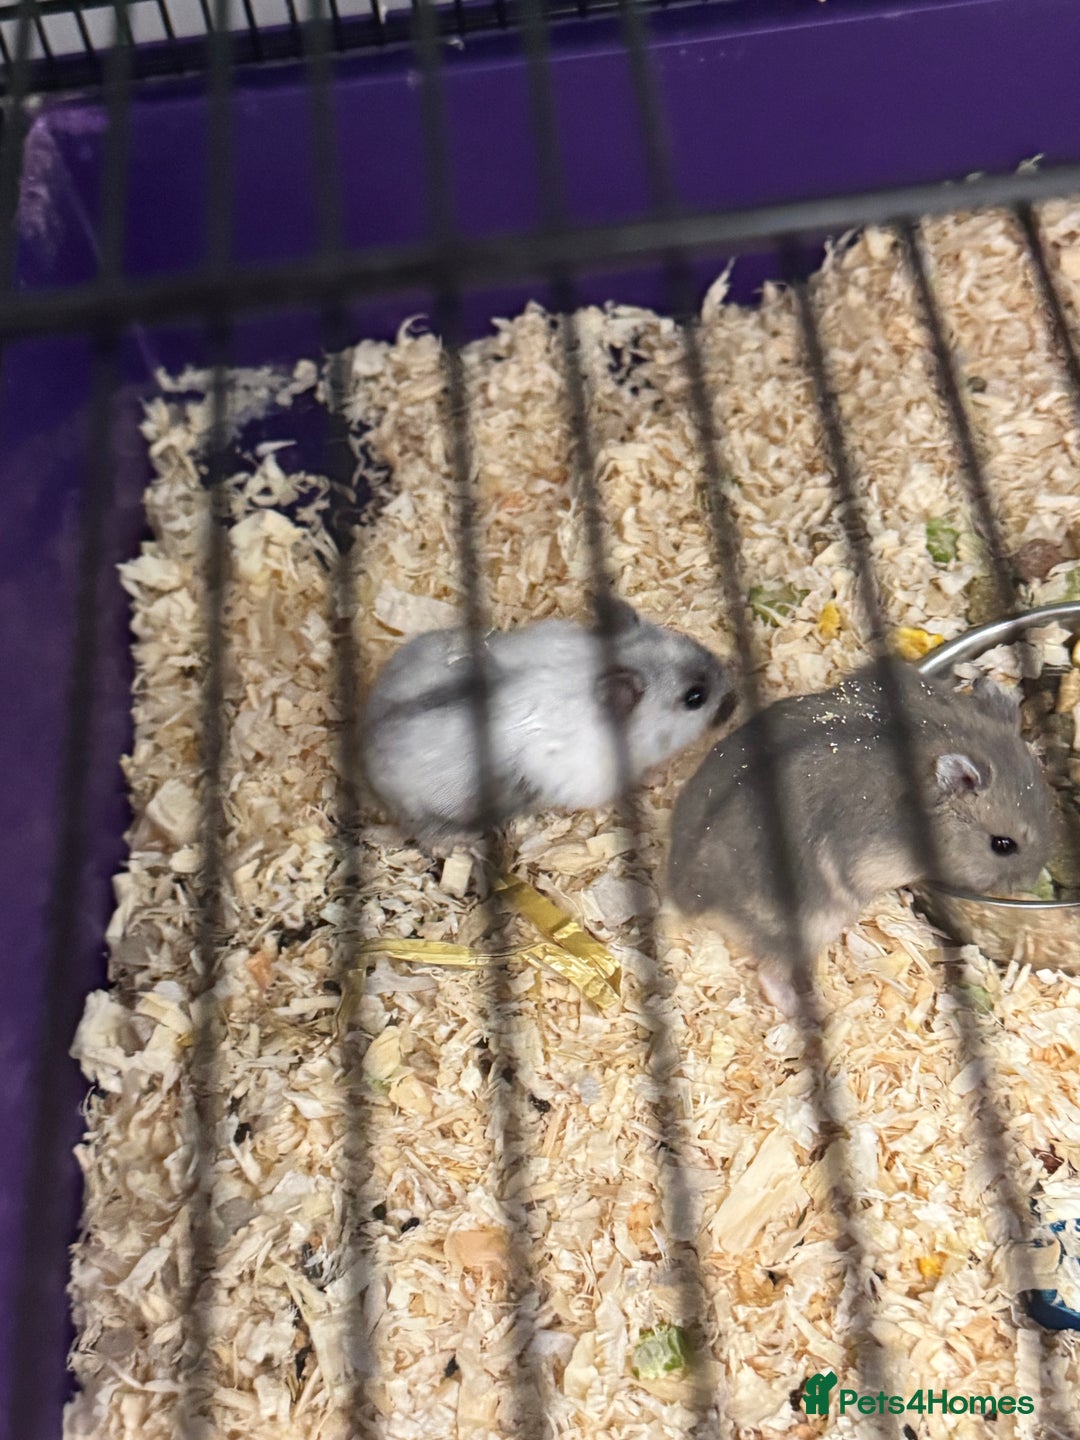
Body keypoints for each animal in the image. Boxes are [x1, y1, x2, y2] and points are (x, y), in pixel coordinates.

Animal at [667, 659, 1057, 1013]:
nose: (1030, 881)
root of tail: (686, 896)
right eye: (1003, 845)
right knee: (770, 975)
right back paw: (815, 1011)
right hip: (808, 926)